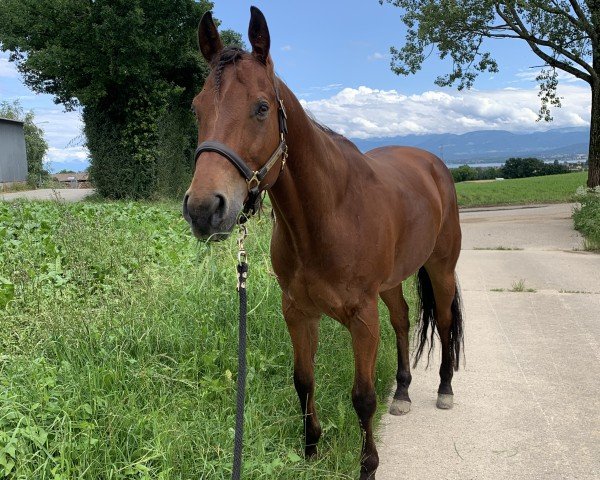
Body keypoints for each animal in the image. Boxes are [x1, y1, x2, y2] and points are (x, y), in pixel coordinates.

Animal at [183, 7, 464, 480]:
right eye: (197, 108)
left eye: (261, 108)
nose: (204, 209)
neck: (326, 216)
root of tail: (434, 165)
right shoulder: (298, 312)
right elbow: (304, 380)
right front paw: (311, 449)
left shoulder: (362, 318)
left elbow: (363, 397)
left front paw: (367, 465)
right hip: (392, 283)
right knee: (403, 321)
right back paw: (403, 394)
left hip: (441, 267)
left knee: (443, 323)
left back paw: (444, 389)